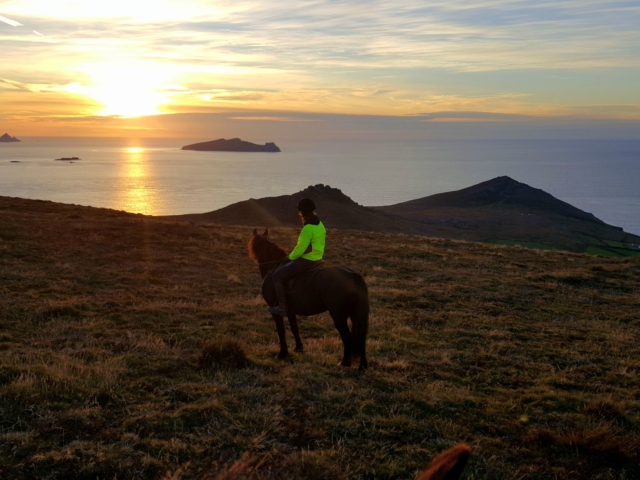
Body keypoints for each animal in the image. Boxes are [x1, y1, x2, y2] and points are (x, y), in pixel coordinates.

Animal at [249, 229, 370, 372]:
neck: (273, 266)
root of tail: (353, 275)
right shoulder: (290, 311)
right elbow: (294, 328)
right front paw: (298, 348)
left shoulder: (276, 311)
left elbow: (281, 331)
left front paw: (282, 353)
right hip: (355, 315)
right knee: (360, 339)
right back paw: (362, 366)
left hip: (339, 316)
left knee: (348, 337)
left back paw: (345, 362)